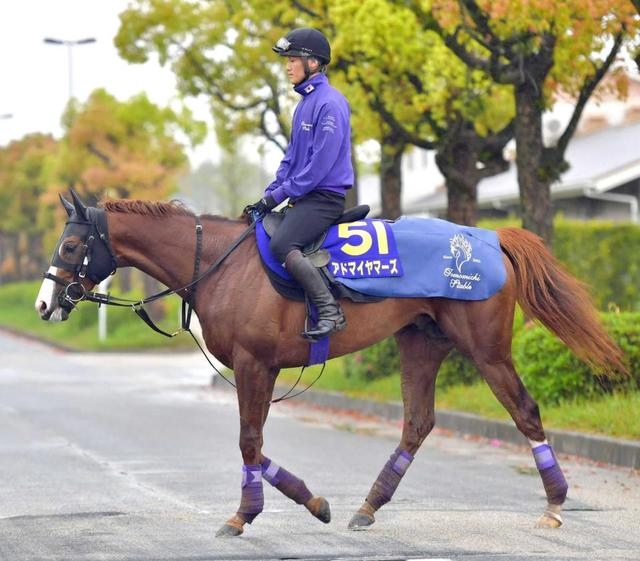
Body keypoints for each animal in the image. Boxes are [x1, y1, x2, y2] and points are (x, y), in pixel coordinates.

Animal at [35, 190, 624, 536]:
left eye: (70, 247)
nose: (44, 304)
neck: (223, 265)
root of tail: (490, 238)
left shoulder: (253, 365)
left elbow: (249, 442)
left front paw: (244, 514)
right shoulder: (261, 369)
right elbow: (257, 445)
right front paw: (312, 501)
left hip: (487, 350)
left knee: (525, 411)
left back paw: (555, 504)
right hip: (421, 342)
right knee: (417, 423)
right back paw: (369, 505)